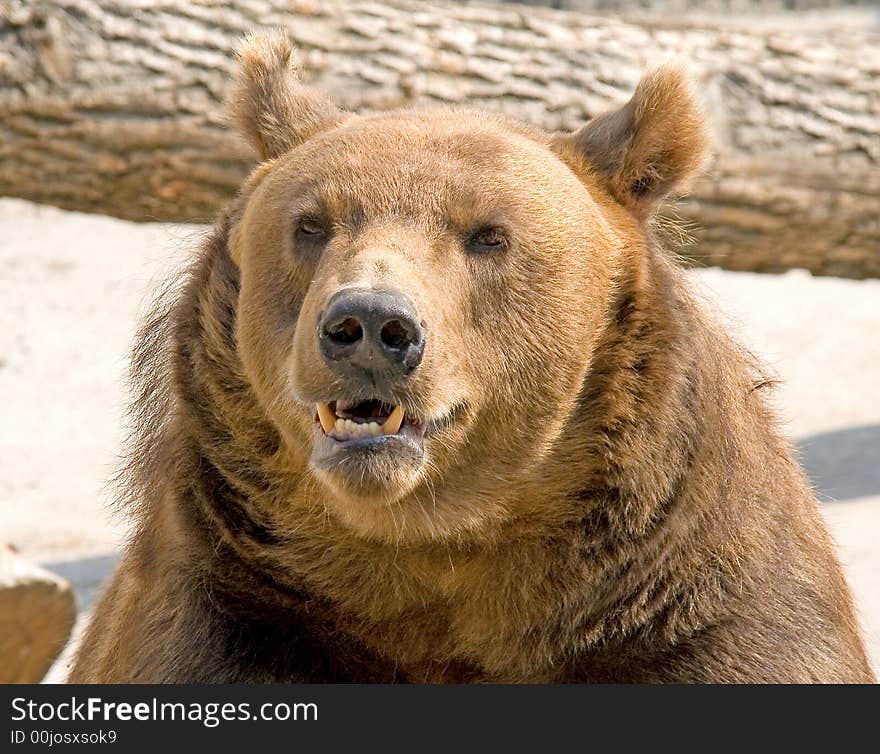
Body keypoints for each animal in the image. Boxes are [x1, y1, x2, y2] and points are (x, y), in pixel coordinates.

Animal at [69, 30, 872, 680]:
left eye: (488, 234)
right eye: (312, 223)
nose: (370, 324)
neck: (447, 554)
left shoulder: (699, 623)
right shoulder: (235, 618)